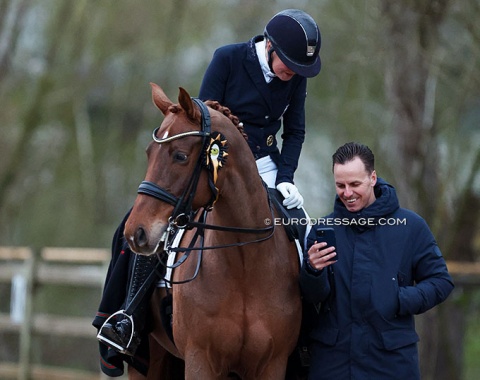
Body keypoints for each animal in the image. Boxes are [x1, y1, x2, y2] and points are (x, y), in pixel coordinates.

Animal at [125, 84, 302, 380]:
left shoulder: (272, 364)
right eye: (149, 153)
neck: (245, 263)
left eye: (180, 156)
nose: (136, 232)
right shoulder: (200, 360)